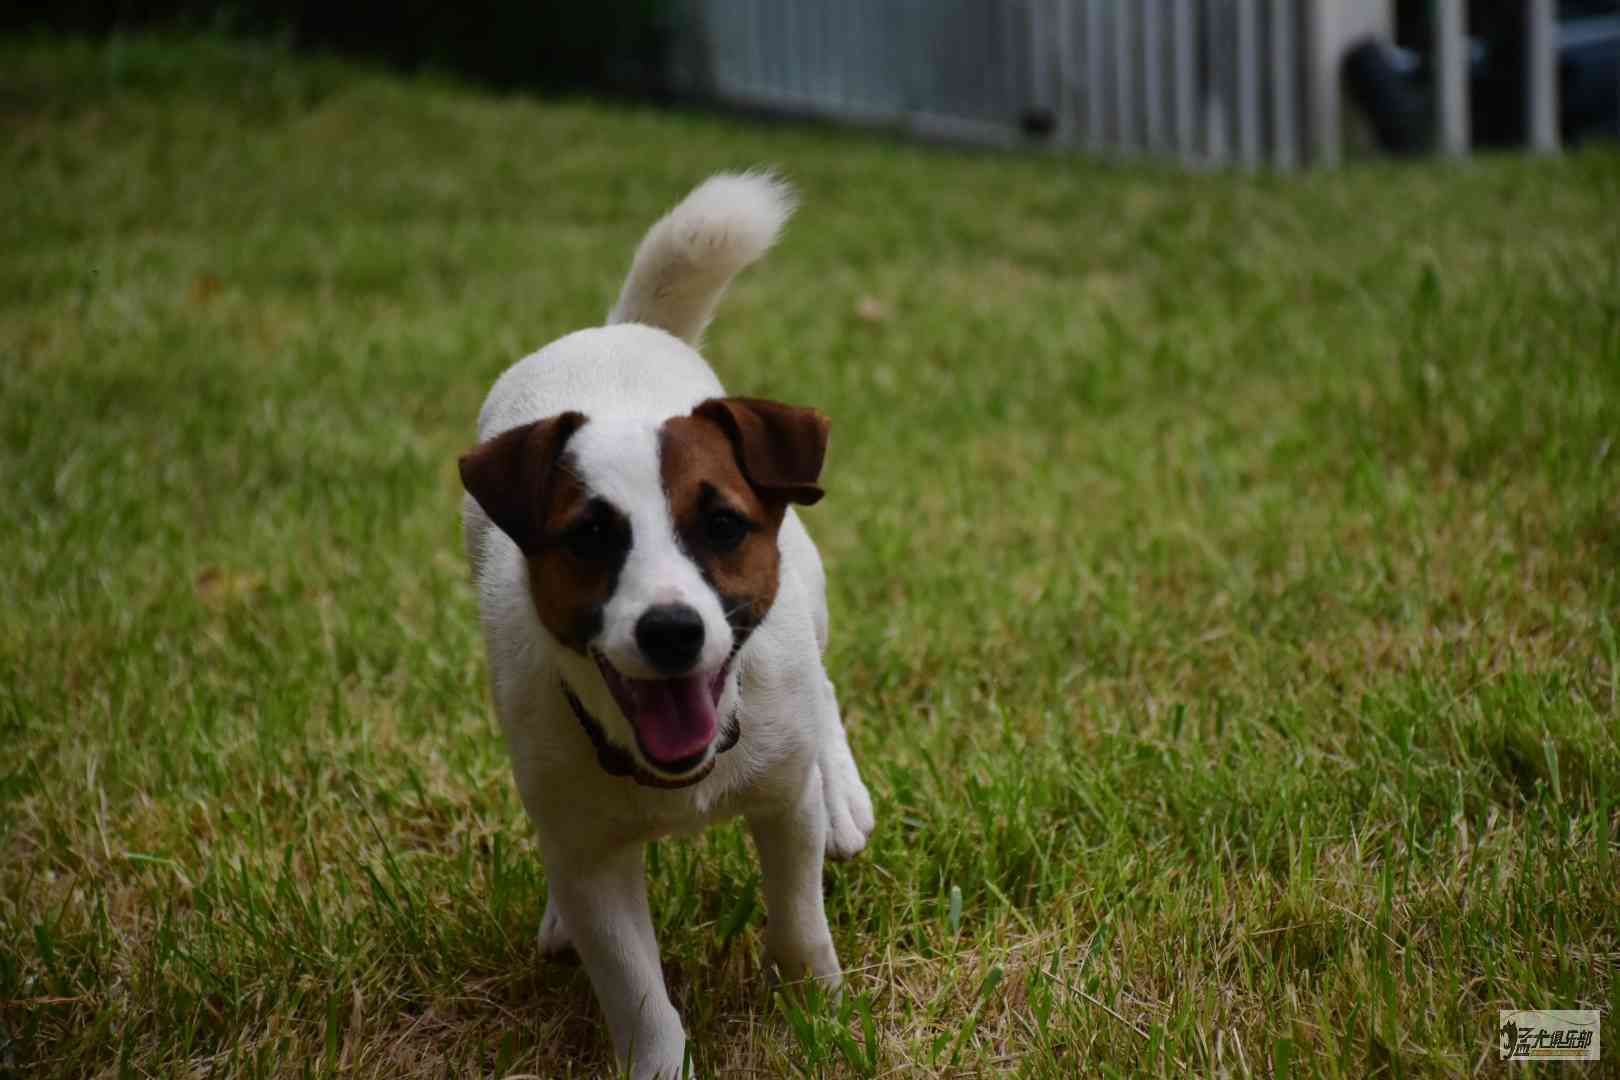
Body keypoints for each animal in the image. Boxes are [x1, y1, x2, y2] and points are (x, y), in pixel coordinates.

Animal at [460, 173, 874, 1075]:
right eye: (589, 537)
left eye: (722, 526)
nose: (672, 631)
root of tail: (620, 330)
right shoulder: (590, 857)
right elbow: (635, 988)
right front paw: (659, 1059)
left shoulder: (783, 805)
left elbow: (799, 920)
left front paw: (818, 1011)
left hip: (809, 594)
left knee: (824, 689)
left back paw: (844, 791)